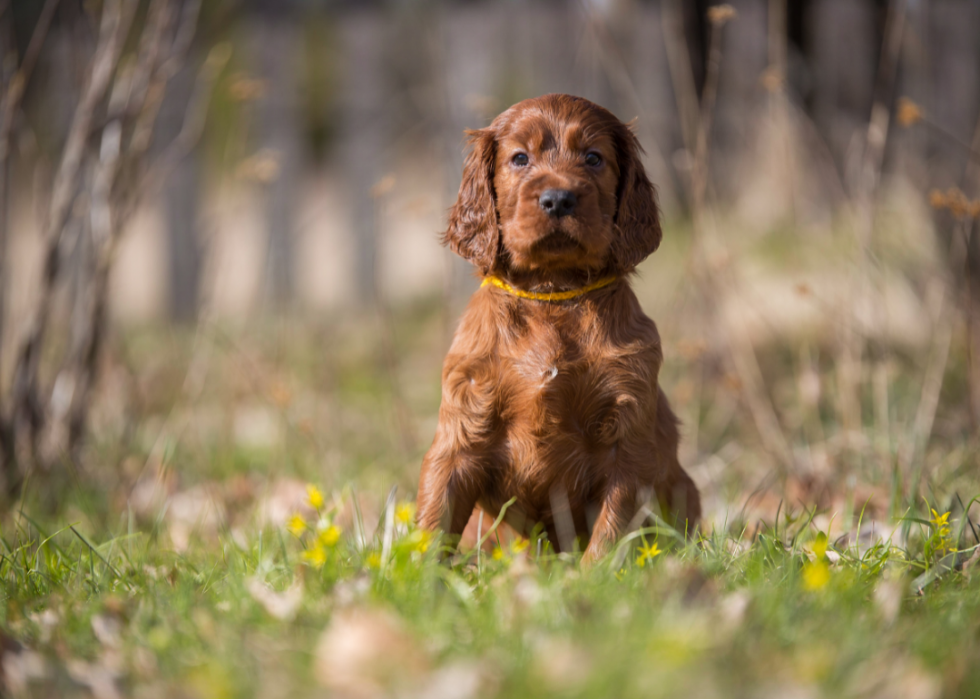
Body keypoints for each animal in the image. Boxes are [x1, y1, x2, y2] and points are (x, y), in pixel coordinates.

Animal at [418, 94, 700, 564]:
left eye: (593, 158)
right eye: (519, 158)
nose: (558, 199)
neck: (554, 295)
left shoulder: (627, 441)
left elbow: (610, 532)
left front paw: (593, 576)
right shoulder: (461, 429)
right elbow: (433, 519)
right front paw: (416, 576)